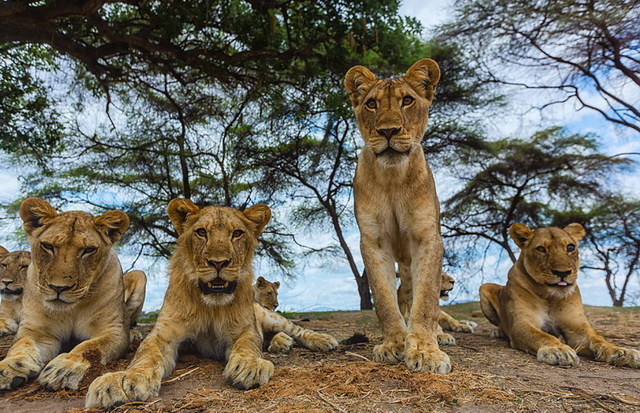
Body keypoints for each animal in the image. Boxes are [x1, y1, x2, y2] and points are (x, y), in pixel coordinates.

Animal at [0, 198, 145, 392]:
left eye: (89, 250)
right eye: (48, 246)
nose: (58, 287)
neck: (72, 308)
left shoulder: (112, 332)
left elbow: (90, 347)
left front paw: (64, 369)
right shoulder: (36, 331)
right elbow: (21, 345)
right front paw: (9, 367)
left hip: (140, 276)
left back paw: (134, 333)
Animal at [85, 198, 276, 408]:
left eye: (237, 233)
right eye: (201, 232)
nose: (218, 263)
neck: (211, 305)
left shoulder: (246, 329)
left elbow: (249, 345)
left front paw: (251, 365)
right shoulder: (164, 333)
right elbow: (146, 353)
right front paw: (124, 379)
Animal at [344, 58, 450, 374]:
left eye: (407, 100)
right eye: (371, 104)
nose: (388, 131)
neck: (393, 179)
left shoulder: (427, 237)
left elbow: (426, 301)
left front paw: (426, 351)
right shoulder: (373, 241)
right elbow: (383, 299)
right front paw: (394, 343)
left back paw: (442, 334)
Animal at [480, 222, 640, 366]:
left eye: (570, 247)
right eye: (541, 249)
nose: (562, 273)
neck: (550, 296)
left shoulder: (576, 327)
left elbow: (598, 339)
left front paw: (623, 352)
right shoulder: (521, 324)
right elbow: (541, 336)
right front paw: (557, 350)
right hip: (484, 287)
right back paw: (498, 332)